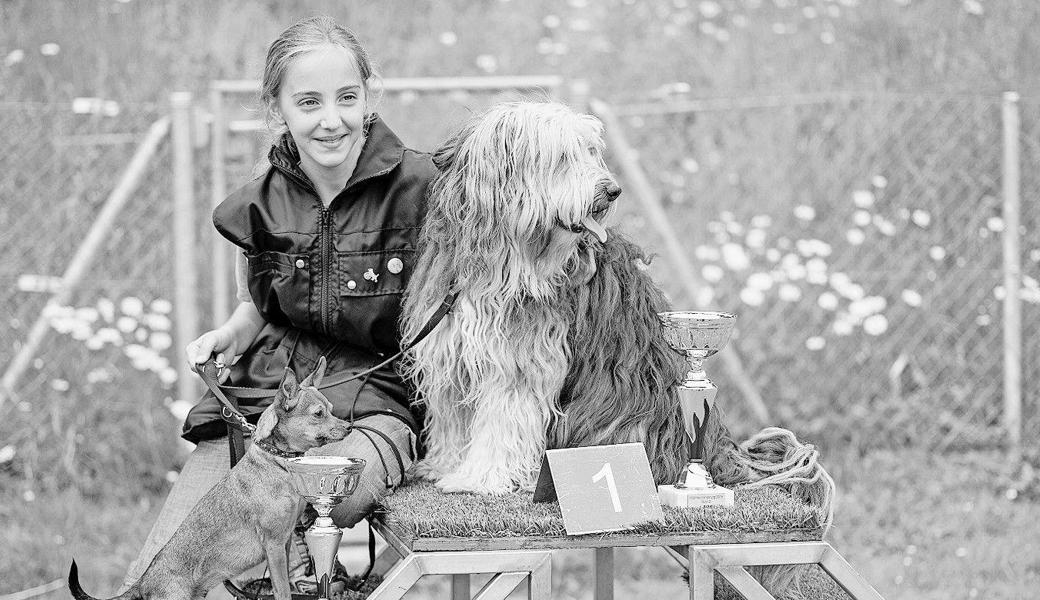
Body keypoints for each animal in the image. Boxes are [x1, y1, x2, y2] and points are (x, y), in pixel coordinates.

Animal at [72, 355, 353, 598]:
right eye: (319, 414)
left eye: (331, 409)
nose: (349, 426)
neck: (276, 462)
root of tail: (144, 581)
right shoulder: (274, 546)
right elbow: (282, 591)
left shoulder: (284, 542)